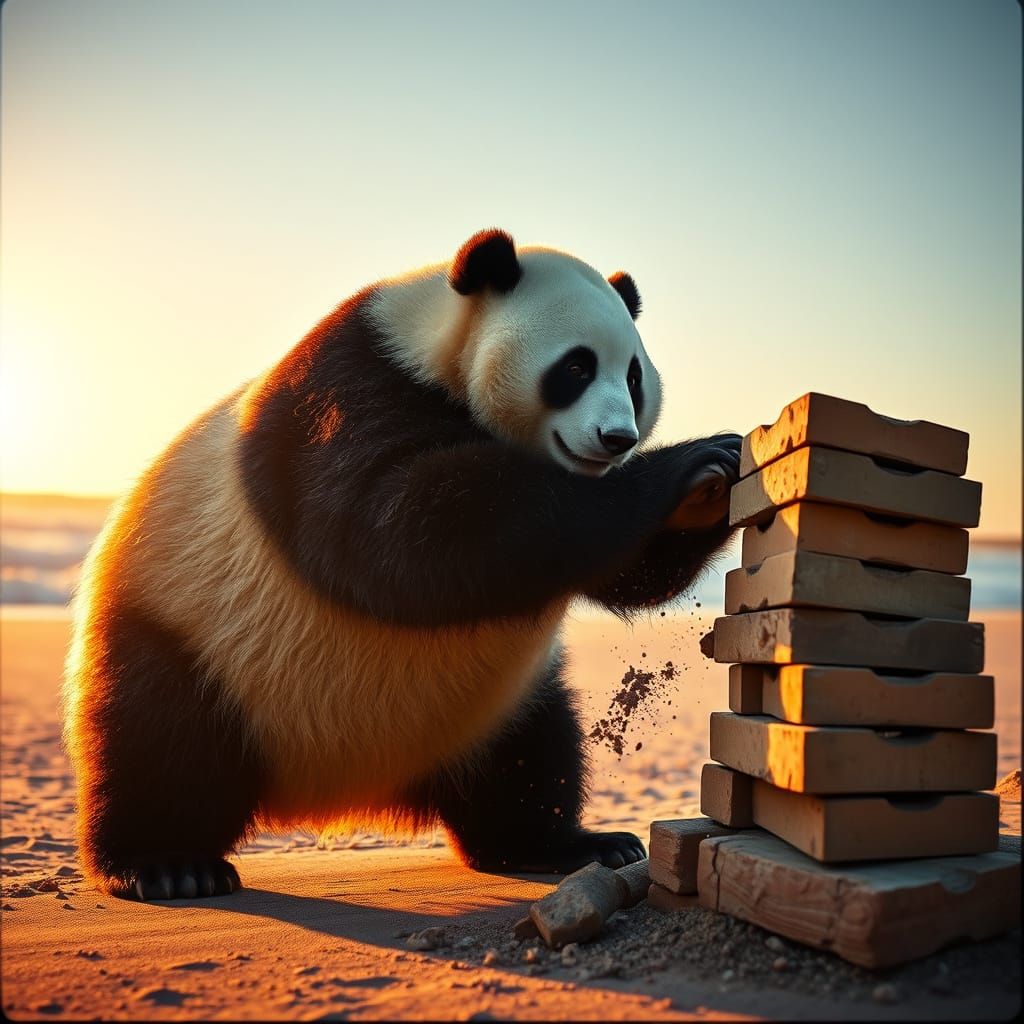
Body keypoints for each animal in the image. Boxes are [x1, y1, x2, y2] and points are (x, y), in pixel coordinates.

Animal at [63, 229, 742, 900]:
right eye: (576, 367)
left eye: (633, 377)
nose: (617, 438)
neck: (431, 344)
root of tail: (346, 789)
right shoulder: (343, 396)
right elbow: (406, 534)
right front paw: (684, 464)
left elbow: (616, 571)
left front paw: (710, 486)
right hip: (187, 623)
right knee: (162, 741)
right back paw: (170, 866)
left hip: (494, 710)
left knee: (532, 757)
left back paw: (568, 844)